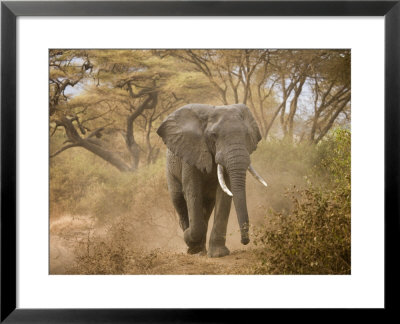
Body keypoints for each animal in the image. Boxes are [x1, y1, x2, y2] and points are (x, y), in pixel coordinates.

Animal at [157, 104, 268, 258]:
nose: (245, 241)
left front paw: (218, 254)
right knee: (179, 201)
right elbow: (192, 193)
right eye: (214, 135)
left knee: (206, 208)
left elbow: (224, 196)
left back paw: (201, 250)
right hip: (170, 171)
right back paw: (193, 247)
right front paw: (190, 240)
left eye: (246, 134)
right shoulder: (191, 155)